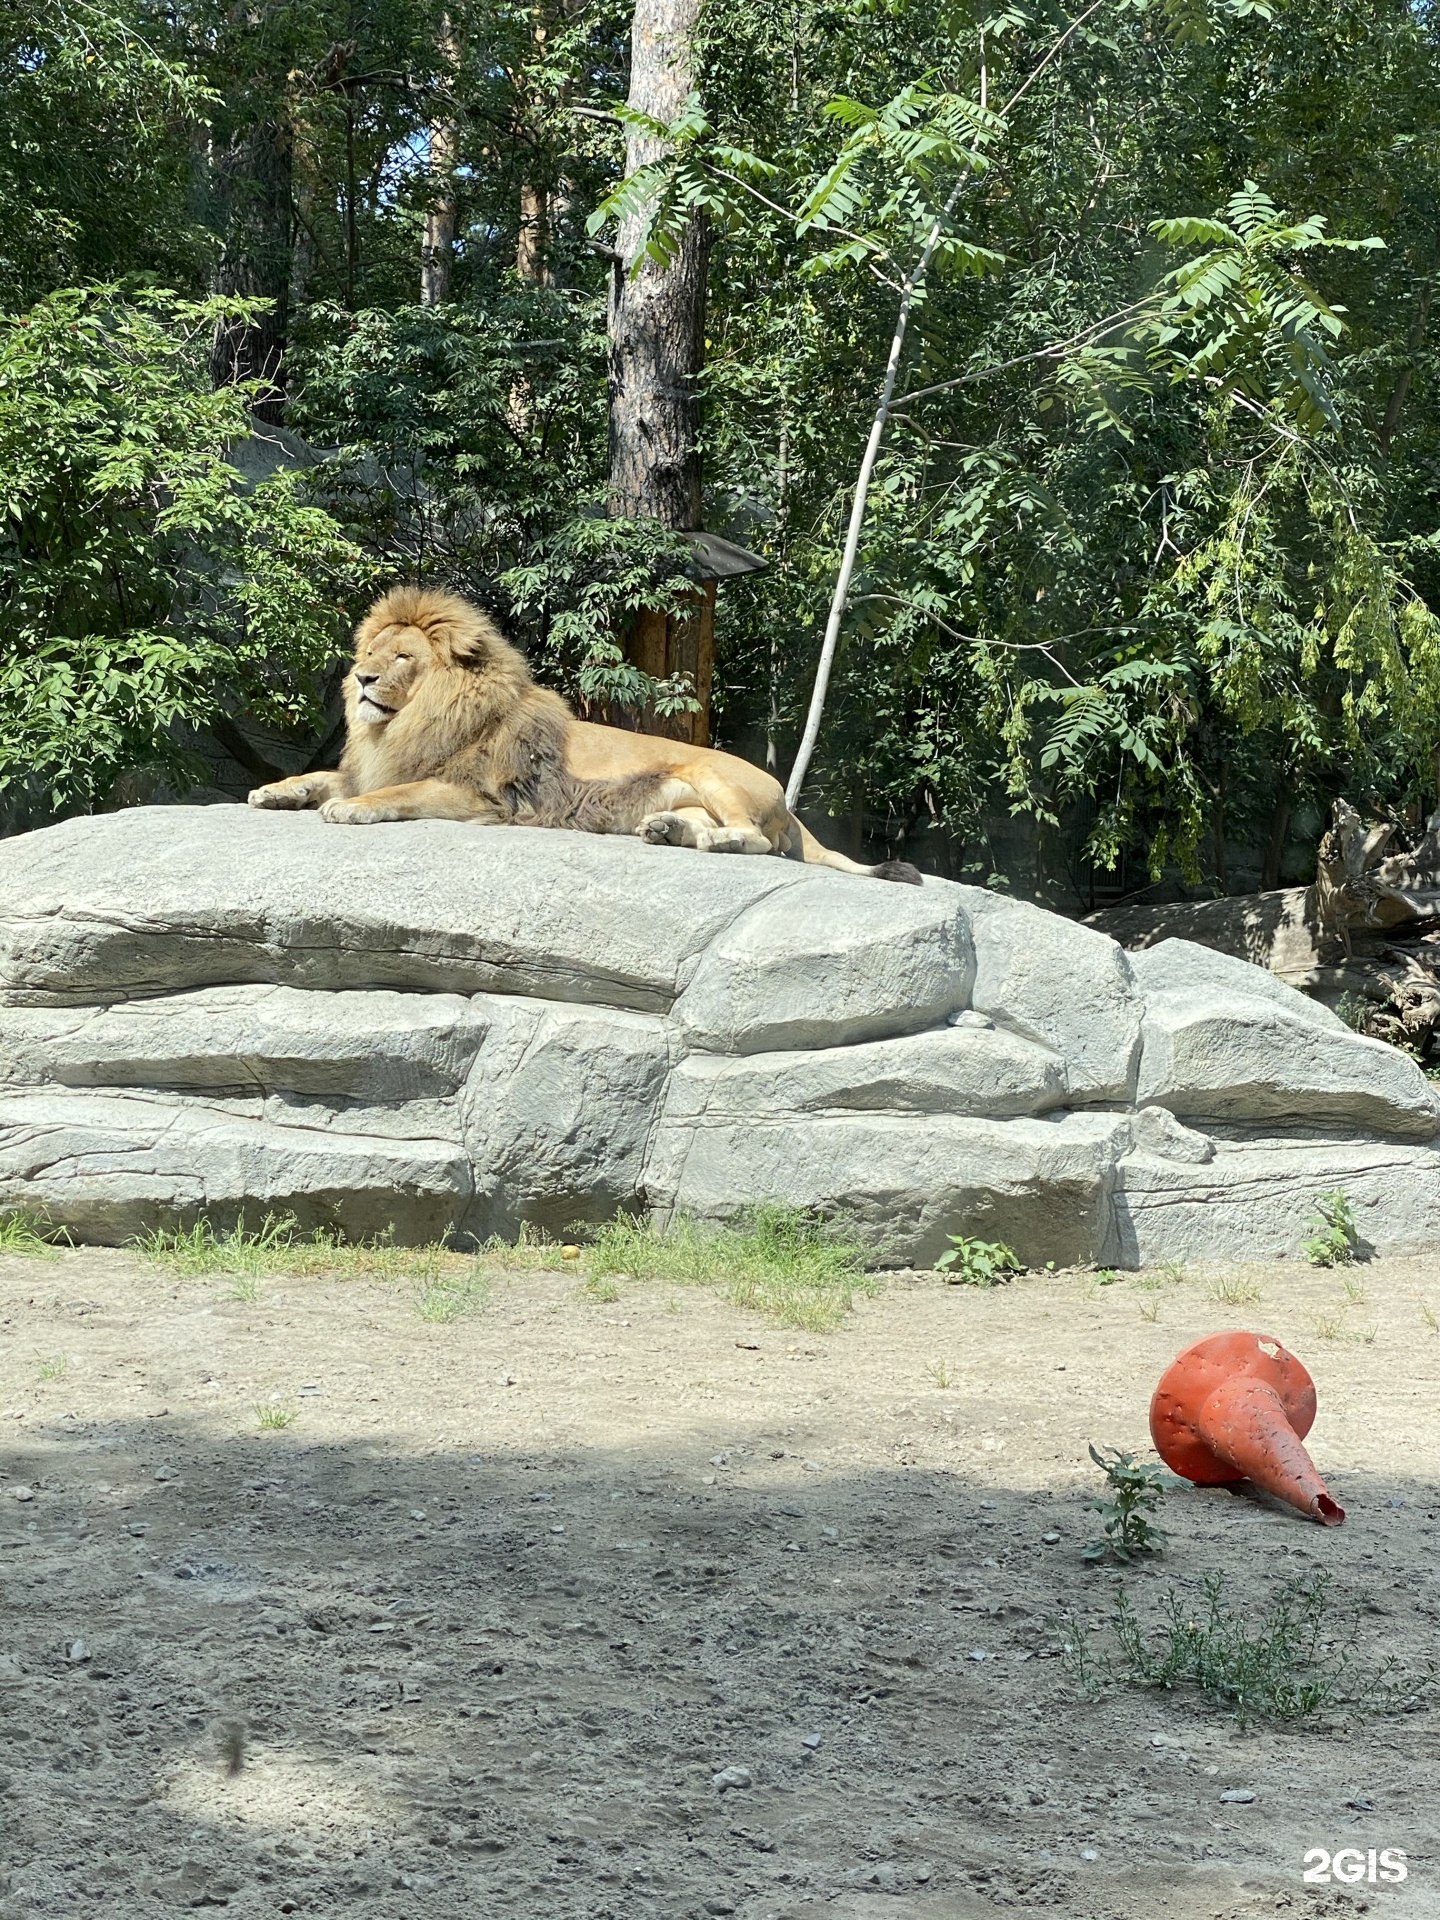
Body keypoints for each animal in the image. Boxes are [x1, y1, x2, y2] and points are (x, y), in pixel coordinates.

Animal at [247, 583, 925, 883]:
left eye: (402, 658)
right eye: (371, 652)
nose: (362, 679)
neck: (406, 724)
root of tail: (789, 803)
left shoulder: (480, 795)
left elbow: (393, 795)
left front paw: (350, 809)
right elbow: (321, 775)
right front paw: (274, 792)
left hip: (712, 772)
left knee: (756, 840)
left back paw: (715, 843)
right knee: (716, 829)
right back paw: (669, 832)